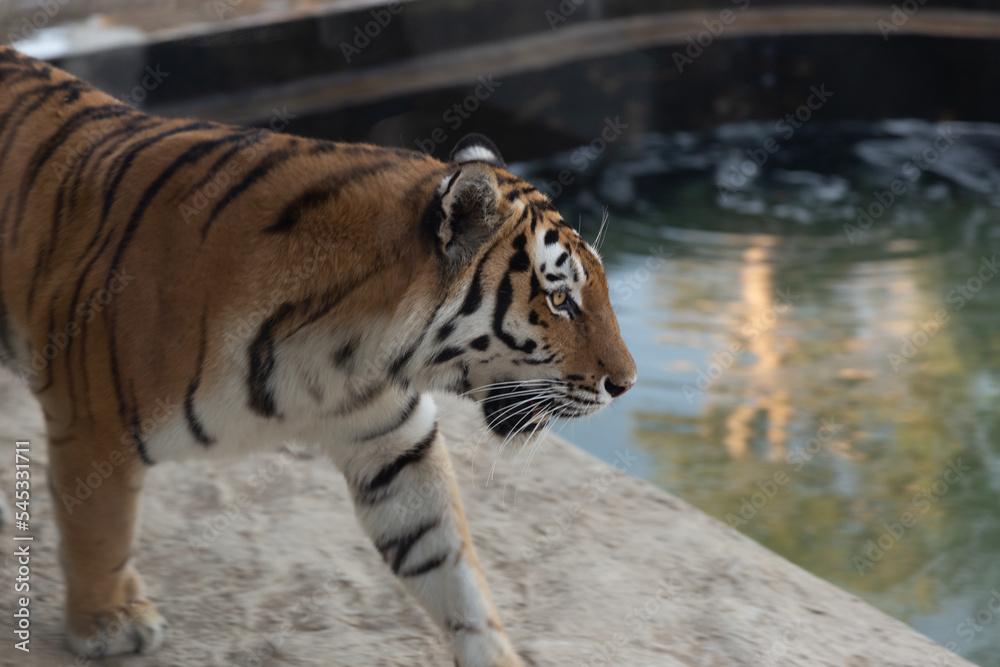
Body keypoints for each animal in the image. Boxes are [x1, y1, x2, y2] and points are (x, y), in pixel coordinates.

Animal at [0, 46, 636, 666]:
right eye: (560, 299)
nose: (626, 384)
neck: (345, 356)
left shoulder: (395, 446)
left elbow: (450, 565)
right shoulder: (94, 426)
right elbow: (100, 531)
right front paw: (108, 625)